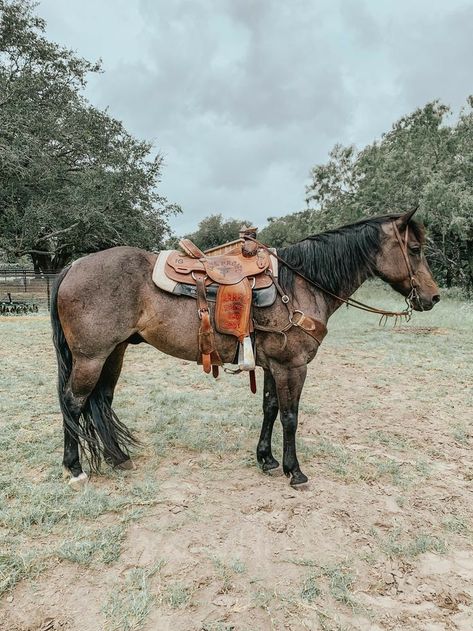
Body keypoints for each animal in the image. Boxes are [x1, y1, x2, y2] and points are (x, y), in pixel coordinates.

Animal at [50, 209, 438, 488]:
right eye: (415, 249)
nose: (433, 297)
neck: (299, 285)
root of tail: (74, 265)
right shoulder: (293, 366)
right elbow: (290, 416)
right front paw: (295, 471)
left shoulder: (273, 365)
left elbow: (270, 409)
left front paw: (266, 459)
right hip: (90, 357)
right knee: (74, 402)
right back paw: (75, 468)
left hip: (114, 352)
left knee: (101, 401)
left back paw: (118, 458)